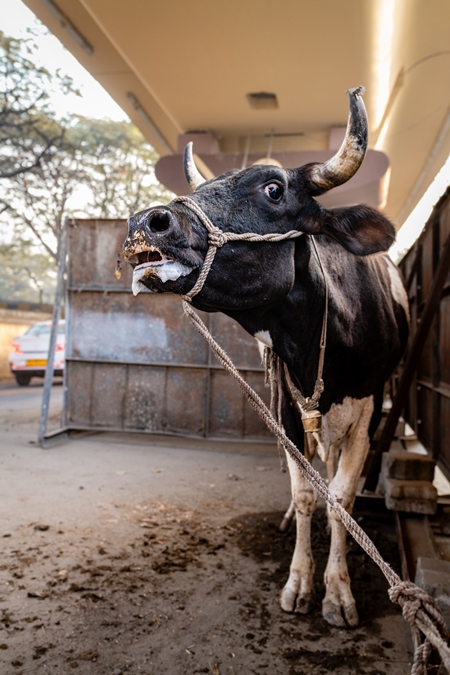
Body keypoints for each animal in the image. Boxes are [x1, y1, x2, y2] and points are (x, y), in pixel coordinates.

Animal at [121, 88, 410, 628]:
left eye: (273, 190)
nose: (146, 223)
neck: (321, 349)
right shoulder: (287, 412)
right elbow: (305, 494)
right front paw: (299, 580)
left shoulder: (366, 415)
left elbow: (341, 499)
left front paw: (338, 590)